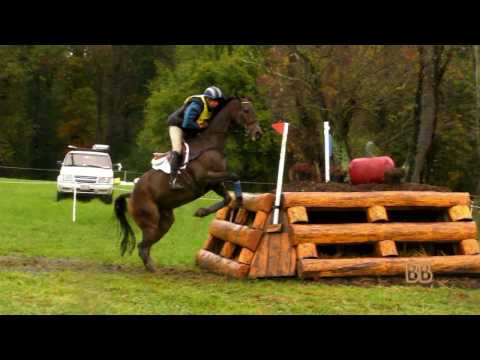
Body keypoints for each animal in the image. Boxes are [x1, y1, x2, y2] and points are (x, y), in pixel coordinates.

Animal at [113, 97, 262, 272]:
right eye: (246, 111)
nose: (258, 133)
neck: (211, 144)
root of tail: (132, 194)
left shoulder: (214, 183)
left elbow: (227, 197)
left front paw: (203, 211)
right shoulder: (205, 177)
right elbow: (234, 175)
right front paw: (235, 201)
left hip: (165, 221)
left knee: (146, 245)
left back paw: (152, 266)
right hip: (150, 220)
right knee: (142, 246)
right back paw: (152, 269)